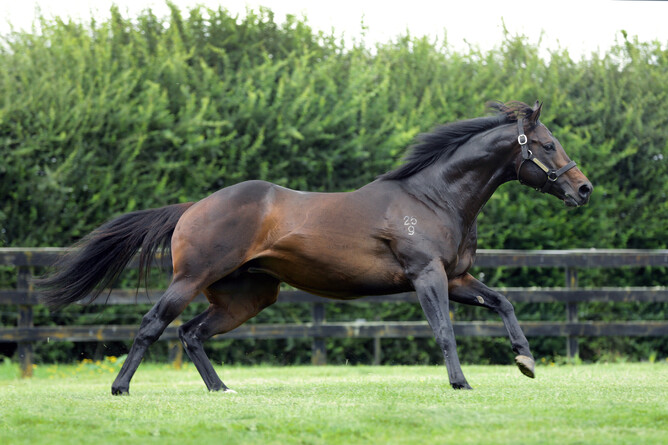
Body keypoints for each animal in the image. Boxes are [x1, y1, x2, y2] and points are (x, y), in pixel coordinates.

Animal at [38, 101, 593, 394]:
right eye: (547, 145)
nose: (583, 189)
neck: (433, 196)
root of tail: (193, 207)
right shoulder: (427, 277)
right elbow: (444, 332)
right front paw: (461, 383)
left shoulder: (457, 278)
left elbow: (504, 303)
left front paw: (525, 360)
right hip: (191, 279)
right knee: (154, 325)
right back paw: (120, 388)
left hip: (247, 296)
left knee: (192, 333)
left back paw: (221, 389)